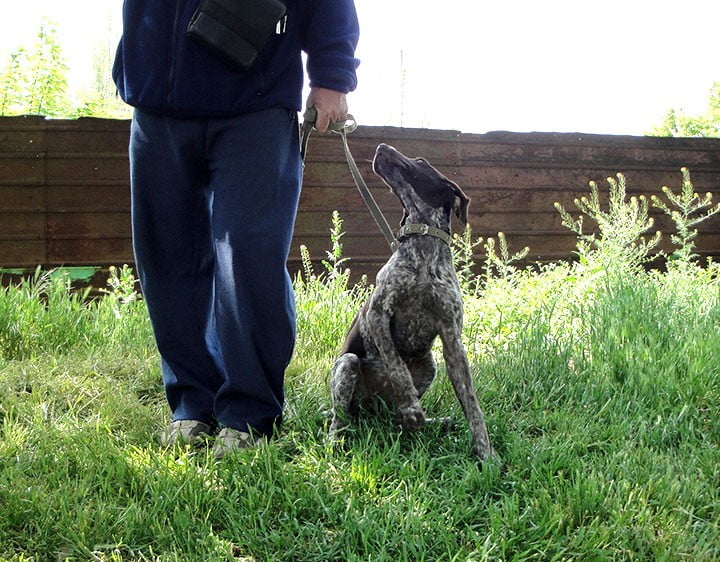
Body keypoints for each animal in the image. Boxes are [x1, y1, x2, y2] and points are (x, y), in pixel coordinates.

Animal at [330, 142, 496, 458]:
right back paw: (338, 439)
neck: (424, 243)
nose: (381, 146)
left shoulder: (452, 337)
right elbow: (397, 367)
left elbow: (472, 403)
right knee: (340, 415)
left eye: (420, 161)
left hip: (429, 366)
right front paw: (412, 408)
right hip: (347, 365)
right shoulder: (379, 315)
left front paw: (486, 454)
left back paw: (431, 421)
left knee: (393, 415)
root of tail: (375, 410)